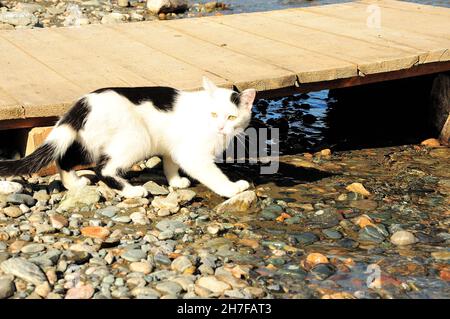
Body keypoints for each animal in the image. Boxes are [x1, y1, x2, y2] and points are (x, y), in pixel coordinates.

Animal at [0, 77, 255, 200]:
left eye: (232, 116)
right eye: (213, 114)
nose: (221, 127)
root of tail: (84, 102)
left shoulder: (173, 146)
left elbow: (170, 163)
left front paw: (175, 182)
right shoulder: (193, 154)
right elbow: (212, 174)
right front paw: (232, 188)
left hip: (88, 141)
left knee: (65, 159)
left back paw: (74, 184)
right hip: (137, 138)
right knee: (104, 168)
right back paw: (132, 191)